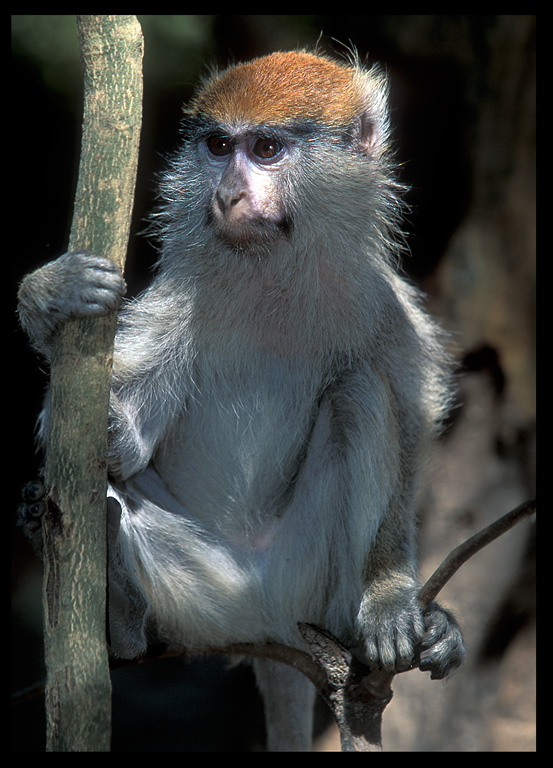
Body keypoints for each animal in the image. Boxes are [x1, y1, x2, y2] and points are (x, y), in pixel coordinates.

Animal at [17, 52, 464, 752]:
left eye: (268, 149)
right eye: (219, 146)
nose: (227, 194)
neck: (268, 272)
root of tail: (266, 616)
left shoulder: (381, 305)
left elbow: (411, 419)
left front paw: (393, 596)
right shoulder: (180, 300)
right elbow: (124, 449)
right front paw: (50, 297)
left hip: (310, 579)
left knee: (359, 393)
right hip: (204, 598)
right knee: (111, 501)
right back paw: (119, 613)